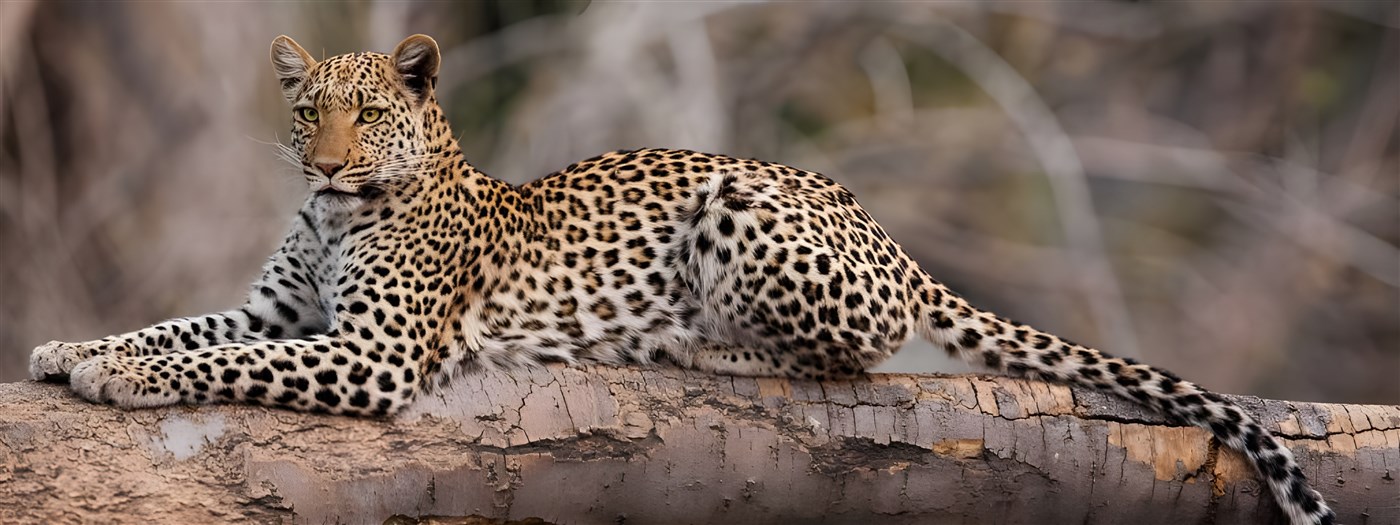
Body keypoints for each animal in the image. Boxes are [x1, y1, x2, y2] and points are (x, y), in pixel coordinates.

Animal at [27, 34, 1333, 525]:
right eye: (309, 113)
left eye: (368, 114)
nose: (328, 161)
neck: (339, 212)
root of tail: (889, 234)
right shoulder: (283, 310)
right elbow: (187, 325)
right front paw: (74, 348)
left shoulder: (371, 353)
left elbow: (224, 359)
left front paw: (115, 379)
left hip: (740, 205)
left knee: (856, 353)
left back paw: (699, 343)